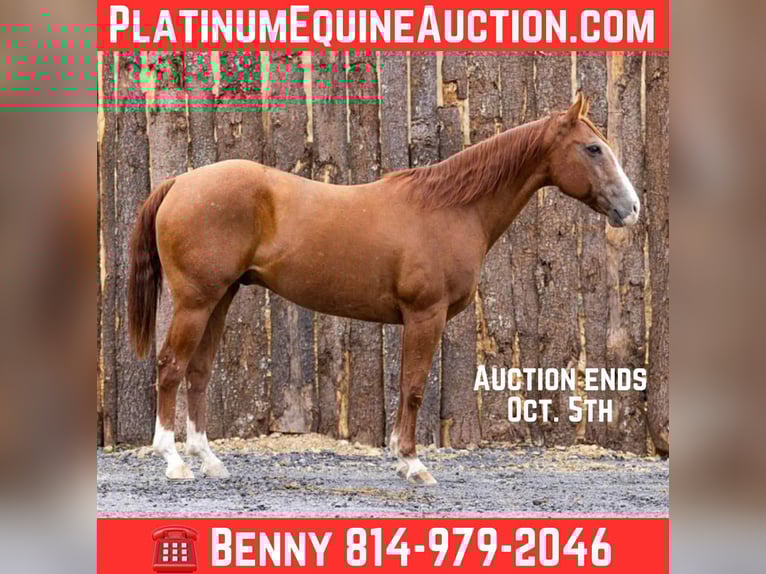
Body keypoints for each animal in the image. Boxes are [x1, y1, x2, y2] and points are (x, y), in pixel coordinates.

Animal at [128, 92, 640, 485]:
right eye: (593, 149)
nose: (631, 208)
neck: (451, 208)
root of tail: (180, 181)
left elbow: (405, 385)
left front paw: (400, 456)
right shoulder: (425, 314)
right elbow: (413, 387)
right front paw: (412, 464)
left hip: (221, 297)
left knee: (198, 372)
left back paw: (209, 460)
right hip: (196, 301)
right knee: (171, 366)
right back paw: (173, 461)